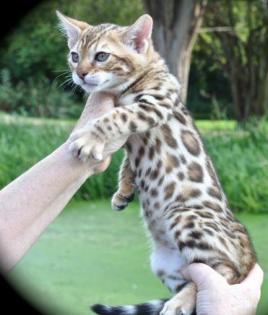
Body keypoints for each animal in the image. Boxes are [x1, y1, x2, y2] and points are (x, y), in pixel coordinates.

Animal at [56, 11, 255, 314]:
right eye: (75, 55)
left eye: (101, 56)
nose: (80, 74)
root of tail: (248, 248)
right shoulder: (132, 138)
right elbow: (128, 160)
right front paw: (123, 191)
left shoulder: (154, 105)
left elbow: (115, 117)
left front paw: (89, 137)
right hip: (162, 263)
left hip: (184, 216)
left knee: (226, 271)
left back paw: (179, 303)